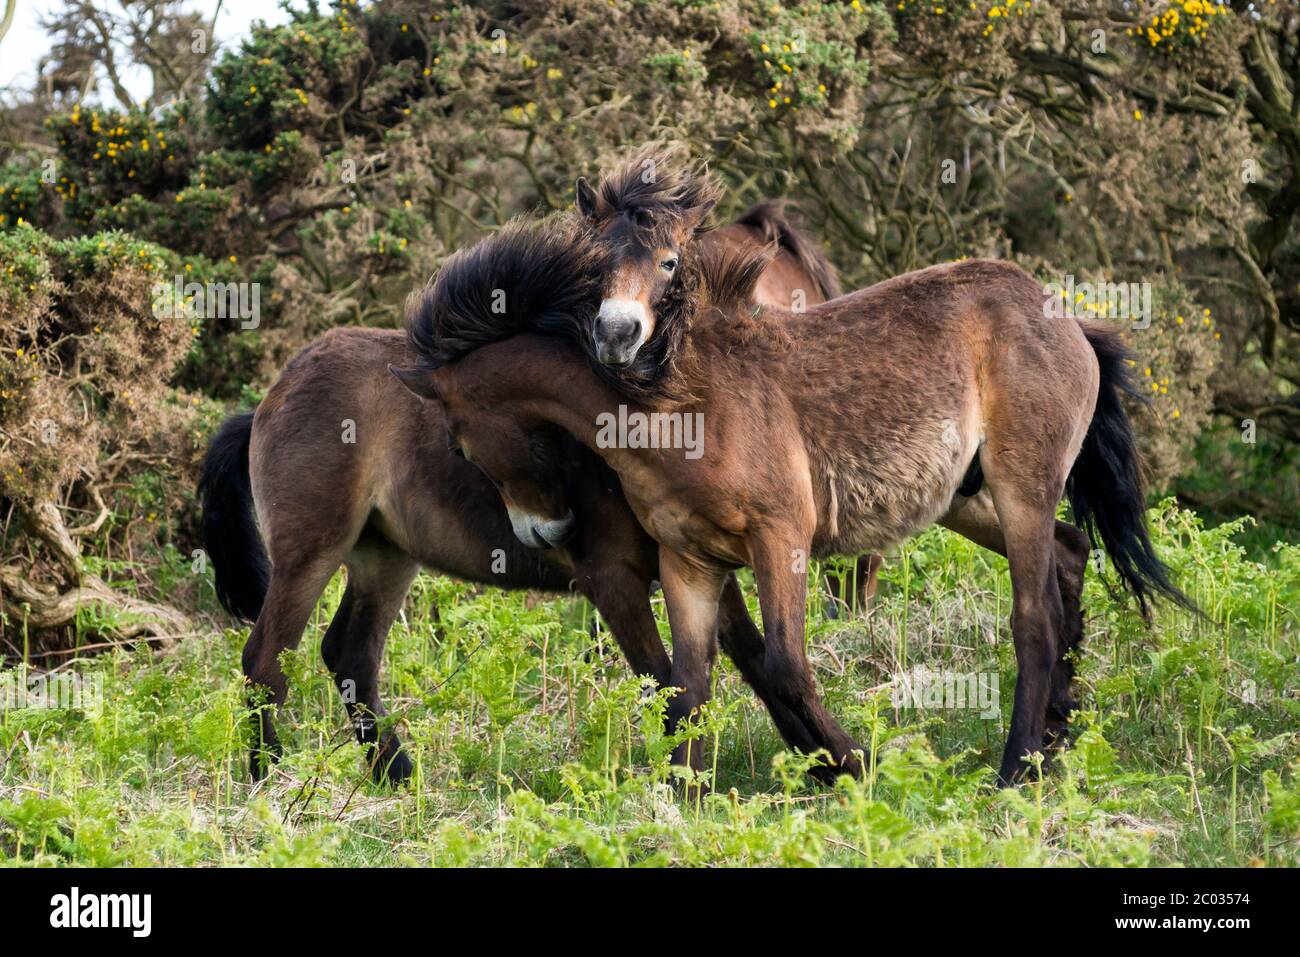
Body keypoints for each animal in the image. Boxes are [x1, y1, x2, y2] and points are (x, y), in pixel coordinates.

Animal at [198, 202, 844, 784]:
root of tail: (267, 401)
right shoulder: (614, 578)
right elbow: (664, 683)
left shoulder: (700, 561)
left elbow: (753, 662)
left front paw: (828, 764)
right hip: (310, 552)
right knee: (265, 663)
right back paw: (266, 783)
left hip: (383, 557)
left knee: (350, 654)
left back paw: (397, 775)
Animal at [394, 216, 1196, 787]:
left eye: (459, 445)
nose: (541, 532)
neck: (677, 402)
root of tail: (1067, 316)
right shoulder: (689, 563)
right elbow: (687, 689)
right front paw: (683, 801)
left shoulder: (782, 541)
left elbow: (783, 665)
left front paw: (858, 768)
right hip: (968, 500)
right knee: (1071, 553)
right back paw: (1057, 738)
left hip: (1019, 484)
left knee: (1035, 616)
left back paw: (1015, 770)